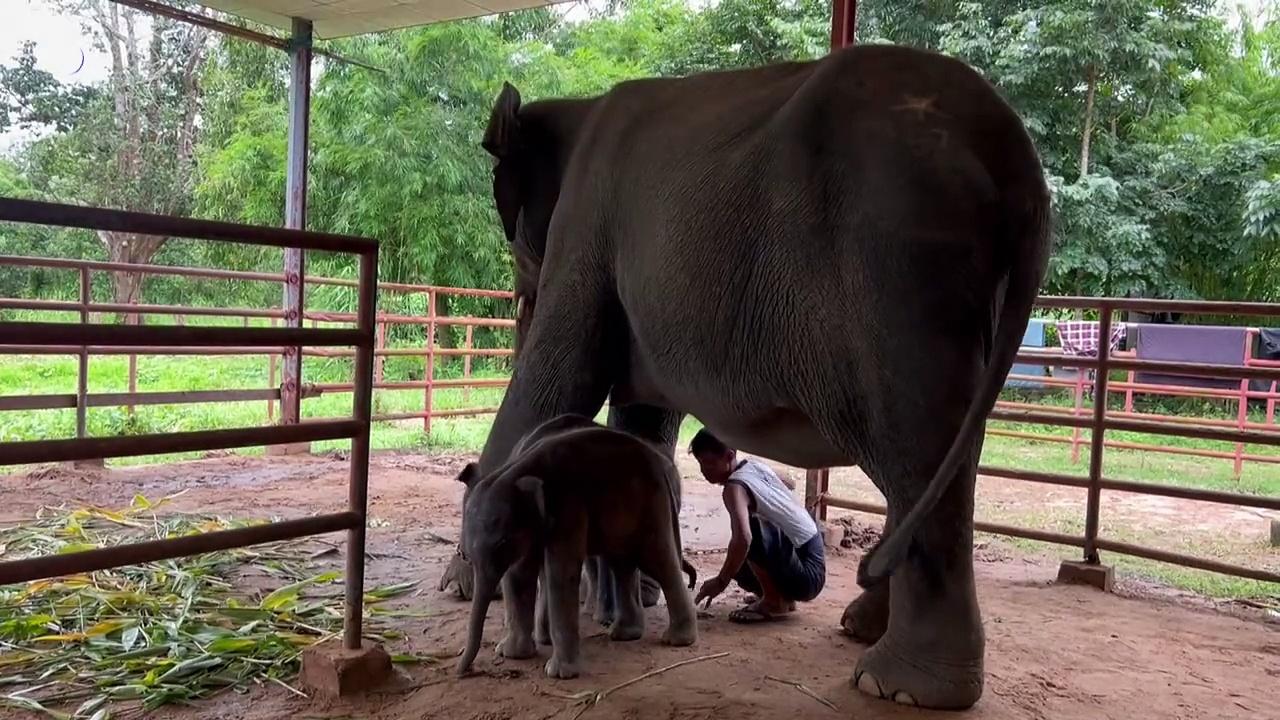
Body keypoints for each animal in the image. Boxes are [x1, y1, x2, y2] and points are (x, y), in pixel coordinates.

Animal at [455, 420, 701, 671]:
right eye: (466, 555)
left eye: (502, 543)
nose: (465, 670)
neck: (518, 469)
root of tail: (662, 468)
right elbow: (519, 574)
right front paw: (512, 654)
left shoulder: (568, 507)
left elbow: (560, 572)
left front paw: (558, 672)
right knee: (622, 563)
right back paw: (625, 634)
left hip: (651, 505)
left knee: (657, 560)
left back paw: (677, 640)